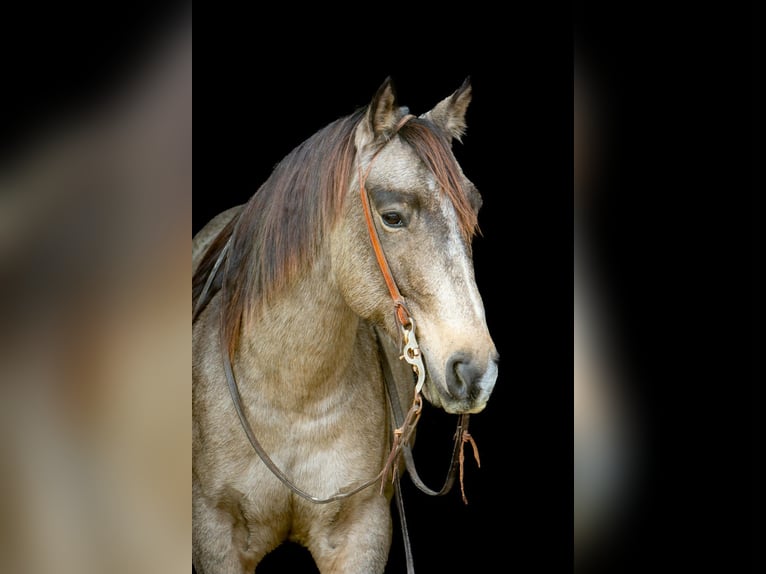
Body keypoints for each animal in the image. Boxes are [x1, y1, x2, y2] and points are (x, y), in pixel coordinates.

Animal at [192, 77, 499, 573]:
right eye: (392, 216)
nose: (476, 371)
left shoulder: (362, 531)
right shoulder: (214, 534)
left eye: (472, 210)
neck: (292, 393)